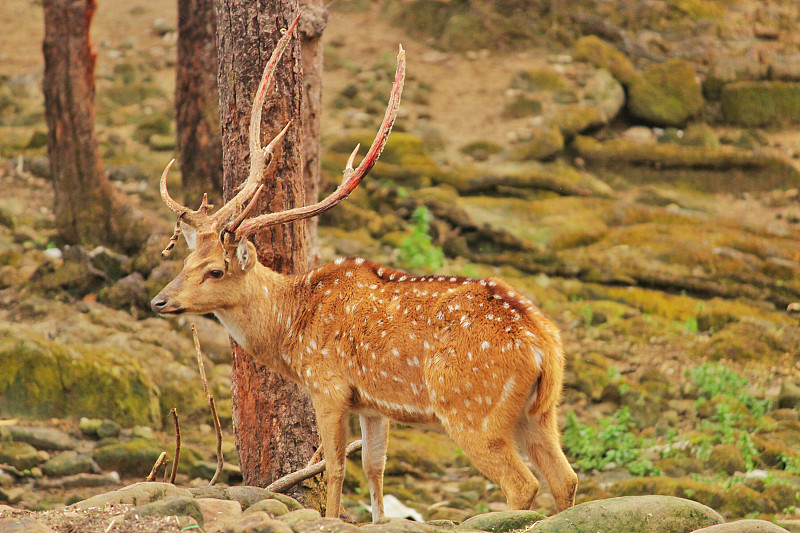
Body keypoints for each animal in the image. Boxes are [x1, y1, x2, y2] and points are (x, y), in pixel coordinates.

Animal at [150, 15, 576, 520]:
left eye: (215, 270)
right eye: (187, 258)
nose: (159, 300)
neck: (290, 328)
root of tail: (542, 344)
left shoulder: (328, 384)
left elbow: (334, 467)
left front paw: (331, 517)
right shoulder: (374, 404)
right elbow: (374, 468)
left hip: (472, 409)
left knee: (522, 484)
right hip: (541, 411)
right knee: (566, 479)